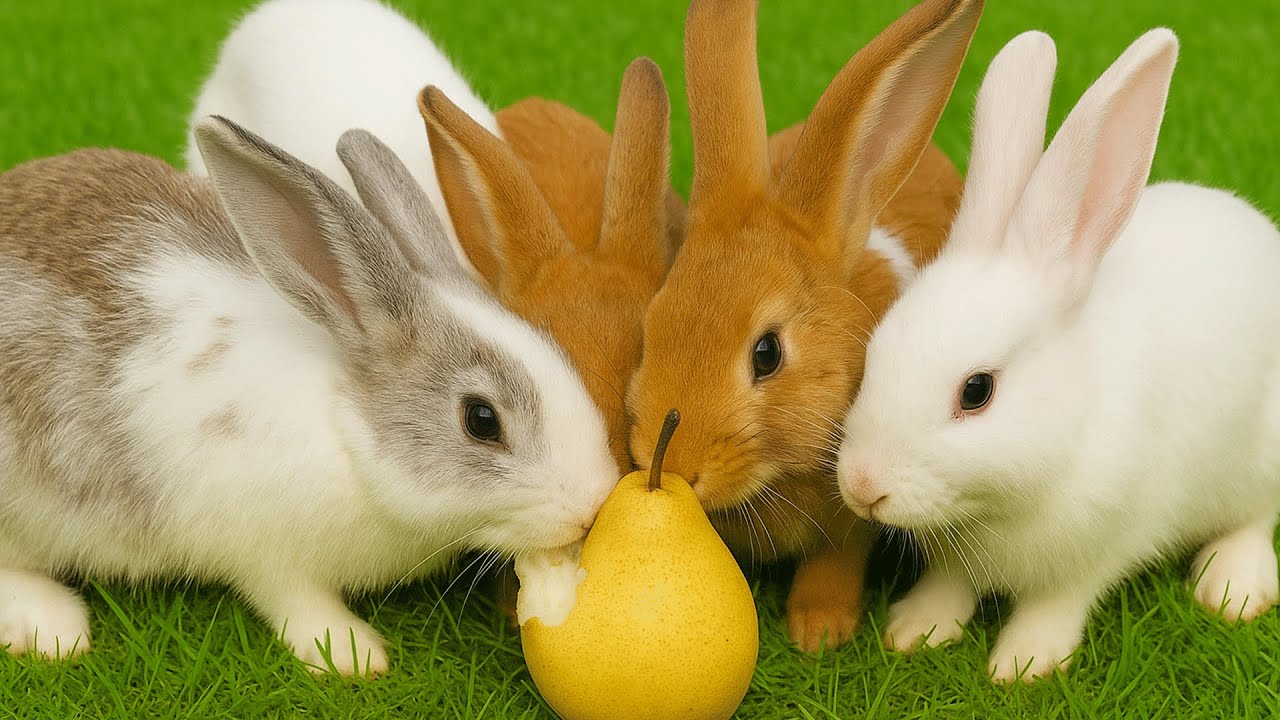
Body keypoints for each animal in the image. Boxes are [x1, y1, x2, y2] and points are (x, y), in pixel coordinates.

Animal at [0, 116, 618, 676]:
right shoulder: (264, 551)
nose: (592, 505)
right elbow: (297, 601)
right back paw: (51, 625)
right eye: (481, 419)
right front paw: (351, 654)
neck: (348, 431)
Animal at [624, 0, 983, 653]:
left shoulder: (853, 516)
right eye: (652, 326)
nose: (677, 465)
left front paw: (819, 631)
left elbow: (837, 560)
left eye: (767, 353)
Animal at [837, 27, 1280, 684]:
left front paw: (1023, 664)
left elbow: (1056, 604)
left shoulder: (1096, 550)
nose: (862, 485)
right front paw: (914, 629)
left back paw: (1232, 588)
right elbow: (947, 585)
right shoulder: (957, 560)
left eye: (977, 391)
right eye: (876, 352)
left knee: (1256, 517)